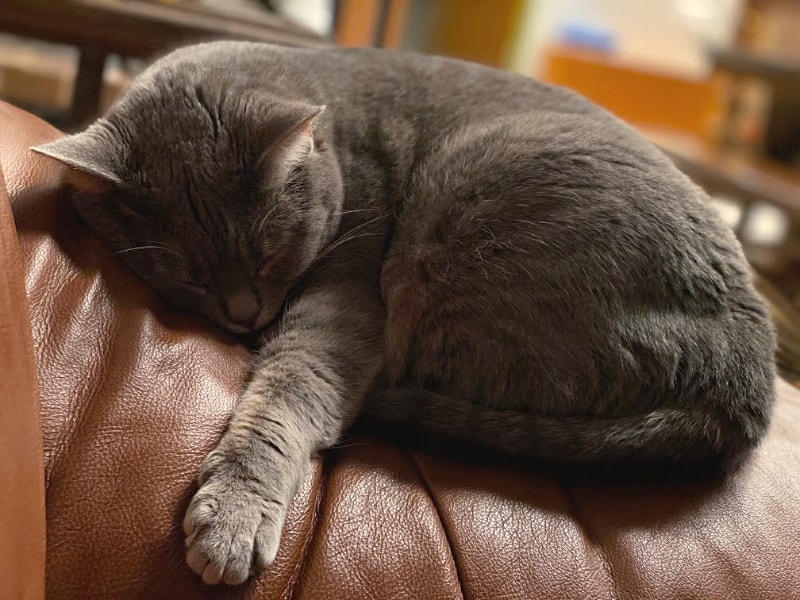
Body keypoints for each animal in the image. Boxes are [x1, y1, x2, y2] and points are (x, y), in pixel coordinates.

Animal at [36, 39, 776, 584]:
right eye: (183, 272)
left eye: (269, 250)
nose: (245, 314)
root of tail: (746, 387)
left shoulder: (348, 296)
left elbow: (290, 389)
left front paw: (232, 517)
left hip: (465, 211)